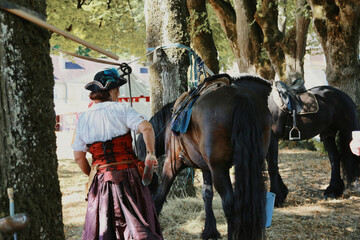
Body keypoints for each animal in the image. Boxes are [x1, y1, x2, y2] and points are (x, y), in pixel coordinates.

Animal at [137, 83, 270, 240]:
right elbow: (207, 194)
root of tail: (242, 97)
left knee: (229, 204)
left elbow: (160, 195)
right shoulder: (206, 167)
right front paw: (210, 230)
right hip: (252, 164)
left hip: (219, 169)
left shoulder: (172, 163)